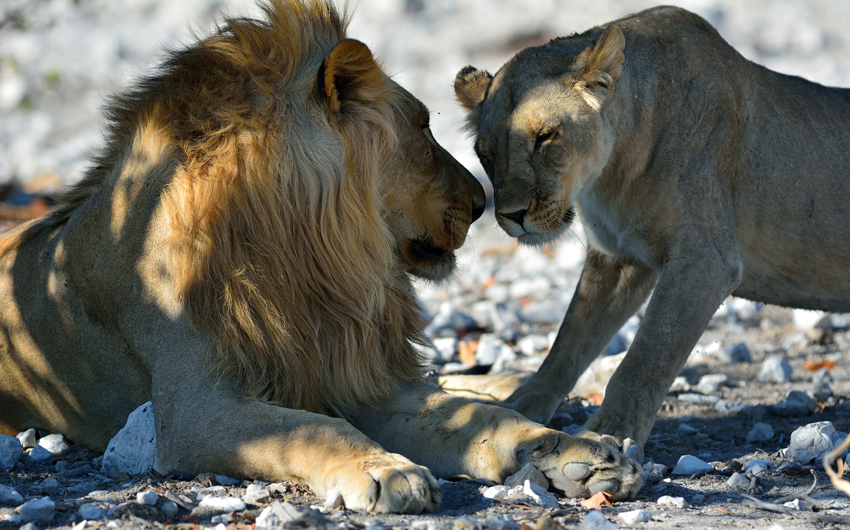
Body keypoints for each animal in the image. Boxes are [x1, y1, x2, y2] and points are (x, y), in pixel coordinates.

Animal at [0, 0, 640, 512]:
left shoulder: (364, 380)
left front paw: (580, 453)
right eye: (423, 125)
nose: (483, 205)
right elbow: (314, 430)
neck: (308, 262)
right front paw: (386, 471)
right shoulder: (192, 411)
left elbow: (481, 419)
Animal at [458, 6, 848, 462]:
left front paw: (609, 433)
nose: (512, 215)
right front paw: (520, 406)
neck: (611, 173)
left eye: (545, 137)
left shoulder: (706, 261)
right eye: (485, 154)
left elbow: (646, 356)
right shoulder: (617, 258)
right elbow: (570, 342)